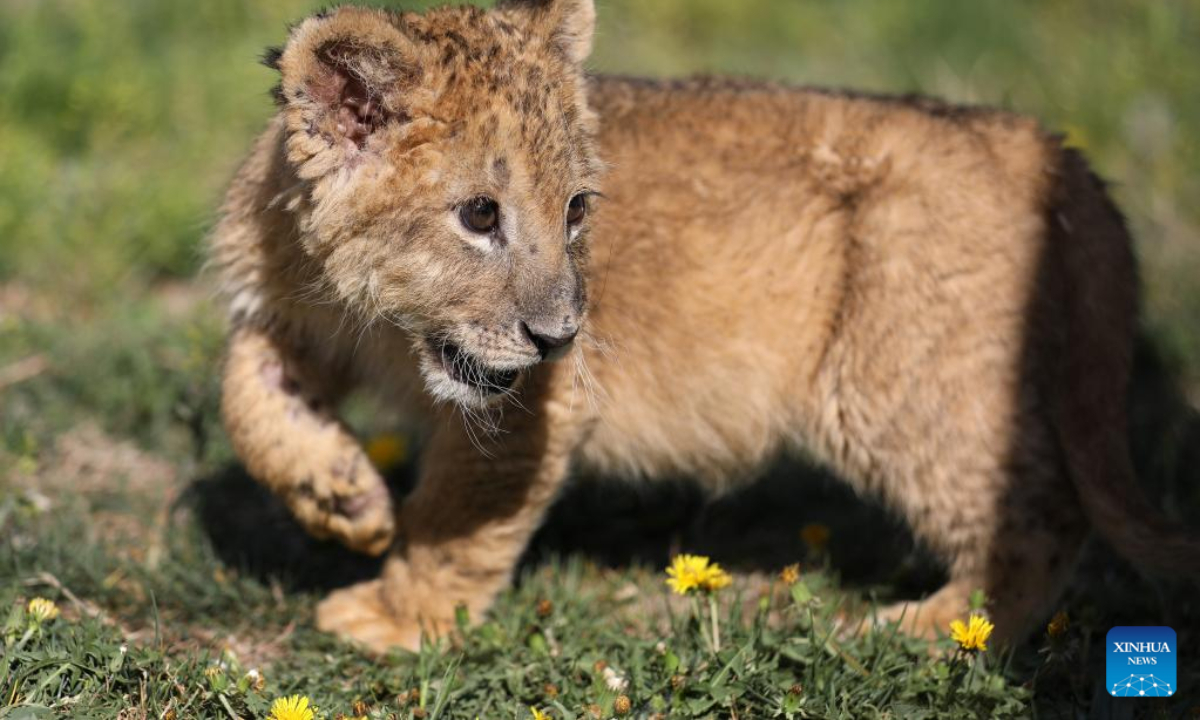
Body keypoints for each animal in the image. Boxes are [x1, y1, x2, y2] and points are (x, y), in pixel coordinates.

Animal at [211, 0, 1198, 653]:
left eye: (576, 209)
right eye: (479, 215)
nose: (560, 336)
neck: (381, 318)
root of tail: (1041, 141)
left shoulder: (535, 409)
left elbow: (457, 518)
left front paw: (394, 617)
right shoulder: (287, 311)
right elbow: (247, 392)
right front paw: (340, 499)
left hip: (900, 383)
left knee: (1039, 514)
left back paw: (929, 629)